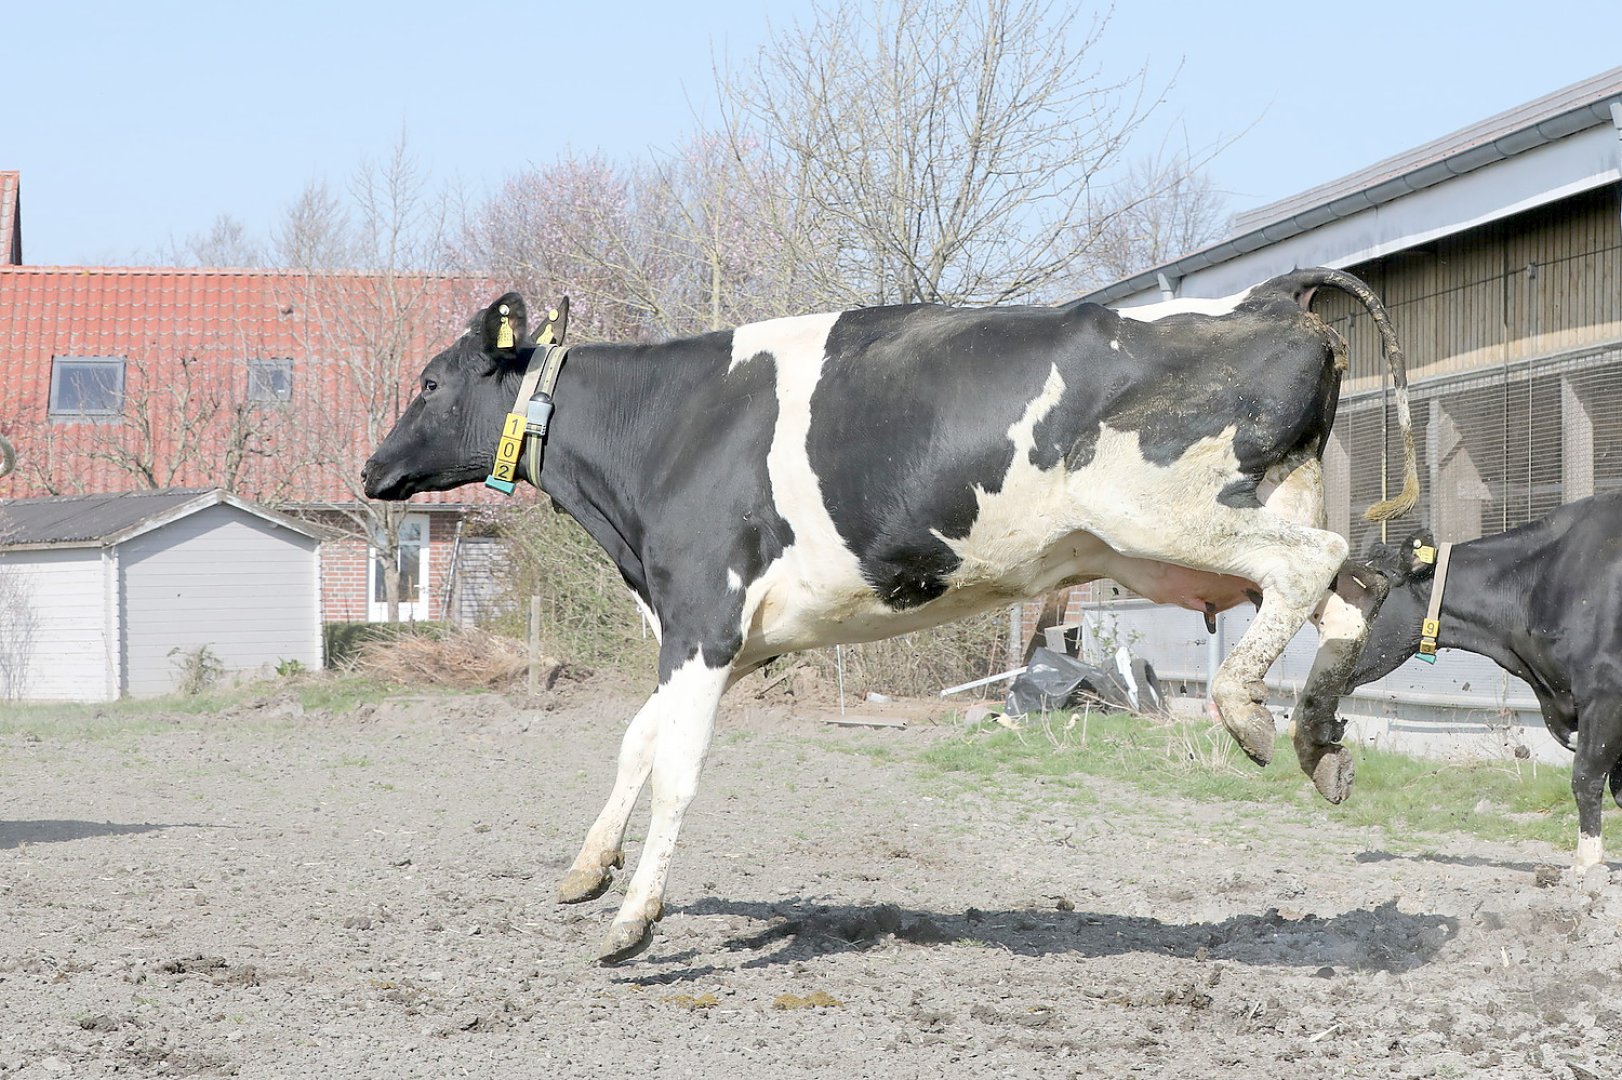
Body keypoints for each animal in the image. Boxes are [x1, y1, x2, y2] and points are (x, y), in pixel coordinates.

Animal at [363, 267, 1418, 962]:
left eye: (428, 381)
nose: (370, 470)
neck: (661, 434)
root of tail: (1265, 294)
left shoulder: (703, 613)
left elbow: (674, 770)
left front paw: (634, 922)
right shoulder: (713, 635)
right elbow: (635, 742)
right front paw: (589, 870)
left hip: (1156, 511)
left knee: (1319, 567)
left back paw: (1246, 710)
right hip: (1232, 513)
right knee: (1347, 600)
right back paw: (1318, 741)